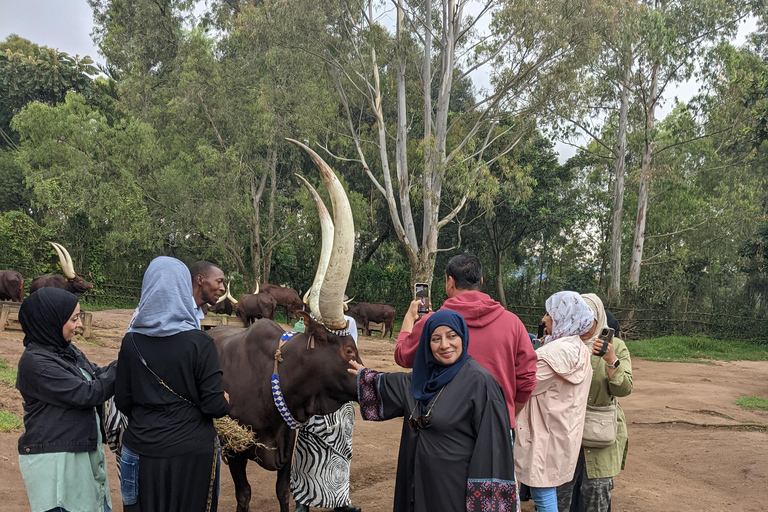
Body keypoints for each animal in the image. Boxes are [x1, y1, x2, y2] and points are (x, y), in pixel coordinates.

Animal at [210, 139, 360, 512]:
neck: (272, 377)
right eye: (348, 350)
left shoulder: (288, 448)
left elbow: (284, 492)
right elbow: (244, 495)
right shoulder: (235, 448)